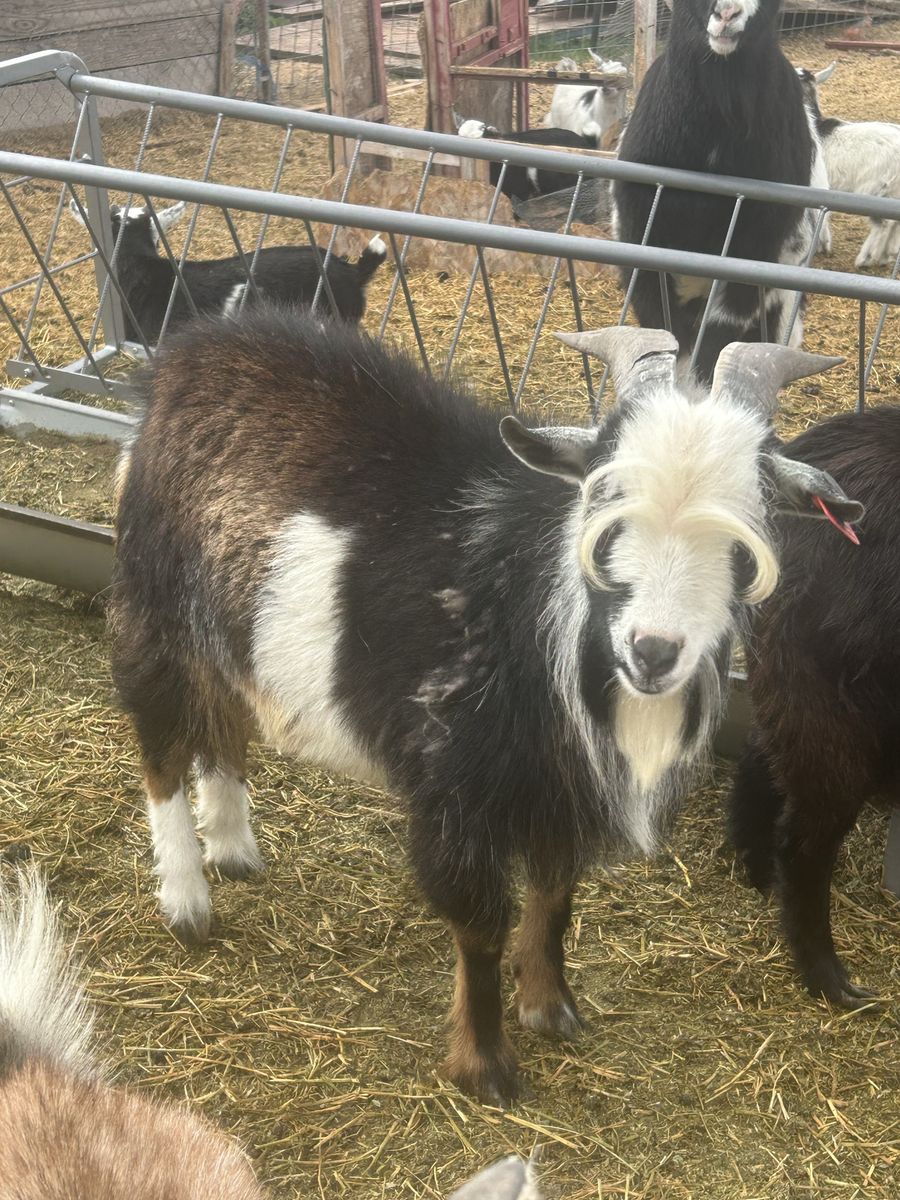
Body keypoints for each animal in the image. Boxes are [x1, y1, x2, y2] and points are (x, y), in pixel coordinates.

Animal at [110, 311, 862, 1105]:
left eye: (748, 525)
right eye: (603, 500)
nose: (653, 650)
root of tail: (181, 359)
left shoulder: (557, 795)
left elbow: (556, 898)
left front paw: (550, 1008)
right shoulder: (454, 789)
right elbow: (480, 925)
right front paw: (486, 1065)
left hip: (226, 625)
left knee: (222, 726)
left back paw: (233, 849)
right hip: (153, 606)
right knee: (160, 747)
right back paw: (187, 902)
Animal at [797, 62, 900, 269]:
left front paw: (820, 244)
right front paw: (823, 244)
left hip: (874, 188)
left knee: (883, 223)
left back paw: (866, 259)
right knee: (893, 221)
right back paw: (887, 255)